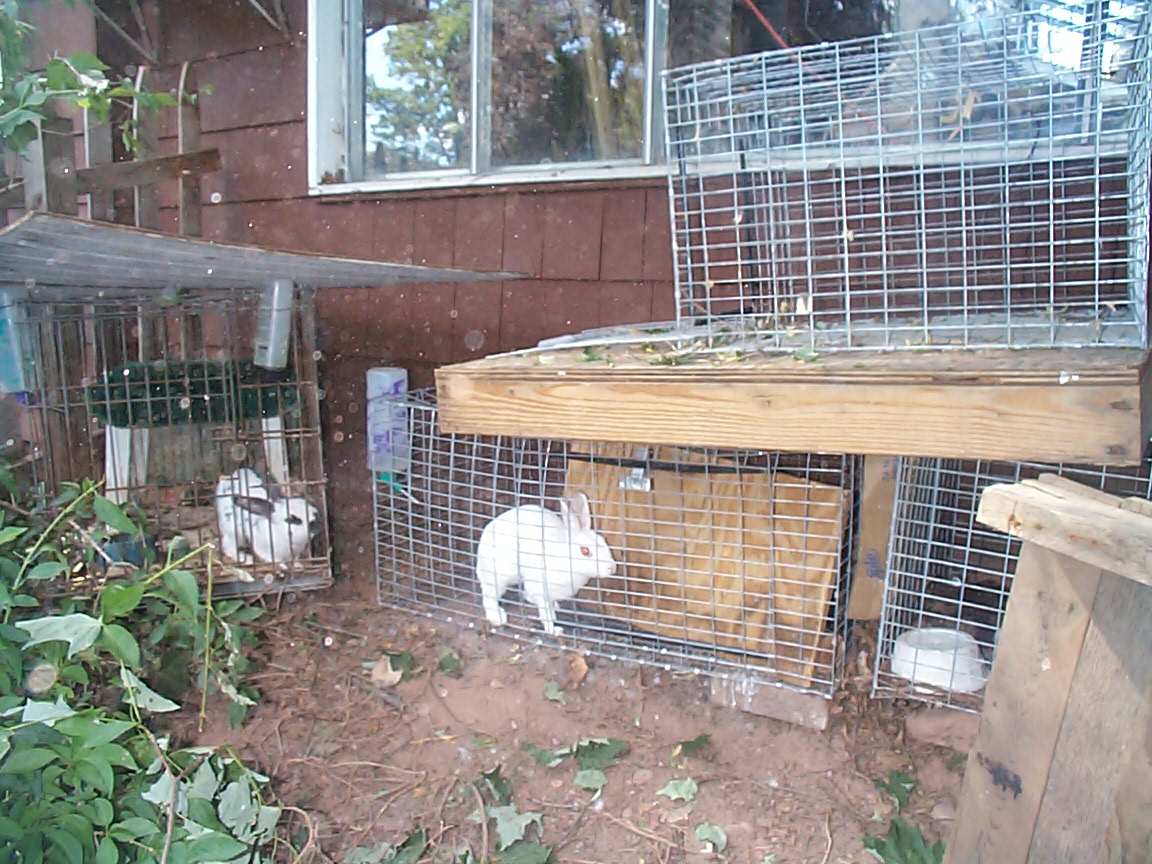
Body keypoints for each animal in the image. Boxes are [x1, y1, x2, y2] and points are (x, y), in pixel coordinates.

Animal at [475, 491, 617, 636]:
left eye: (603, 541)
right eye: (585, 551)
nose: (612, 568)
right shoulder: (540, 590)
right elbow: (545, 614)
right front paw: (554, 630)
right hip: (497, 577)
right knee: (490, 597)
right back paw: (498, 618)